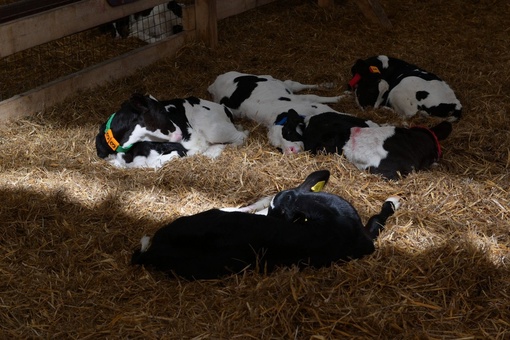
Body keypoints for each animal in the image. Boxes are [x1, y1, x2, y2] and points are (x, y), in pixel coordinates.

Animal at [95, 93, 249, 168]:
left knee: (242, 135)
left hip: (215, 130)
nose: (181, 133)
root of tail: (223, 107)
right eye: (162, 111)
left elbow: (153, 163)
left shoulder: (176, 150)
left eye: (166, 110)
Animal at [206, 71, 342, 154]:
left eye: (288, 132)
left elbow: (318, 100)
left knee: (298, 86)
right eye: (278, 146)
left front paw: (340, 98)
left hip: (273, 80)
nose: (290, 151)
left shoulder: (310, 104)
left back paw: (328, 85)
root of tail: (215, 83)